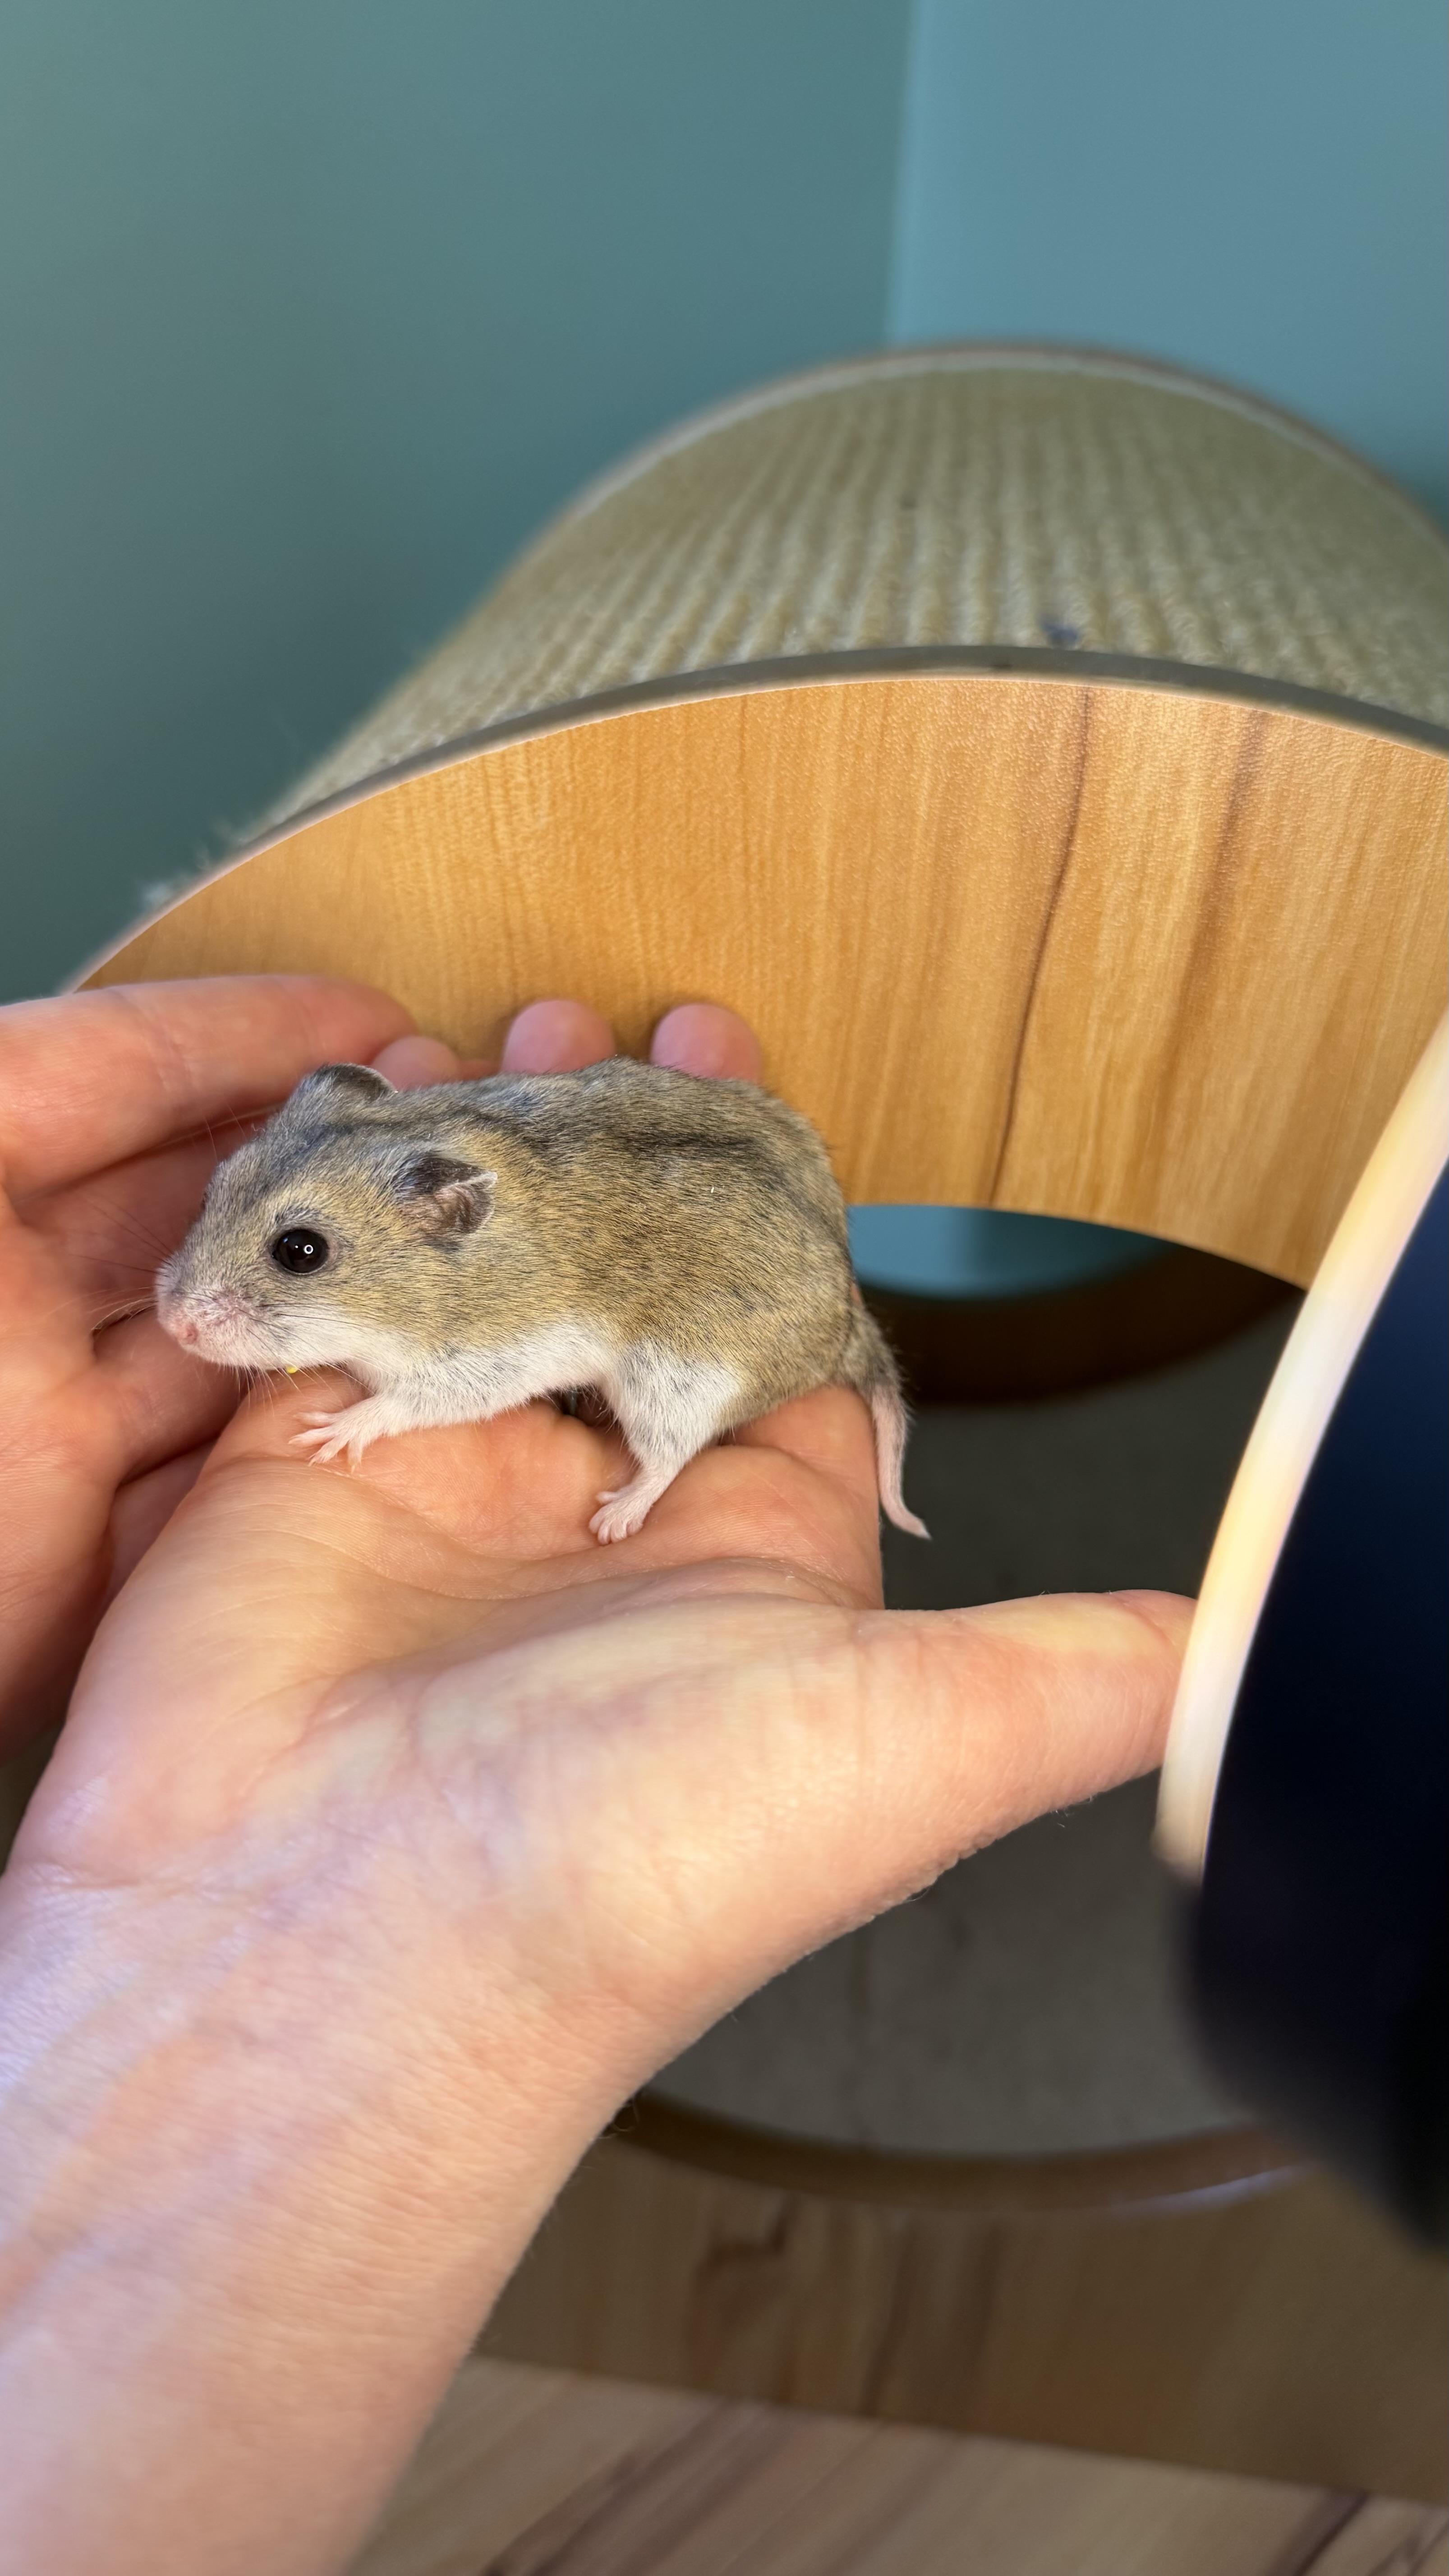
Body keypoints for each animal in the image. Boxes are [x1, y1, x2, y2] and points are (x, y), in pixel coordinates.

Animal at [157, 1057, 928, 1545]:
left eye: (301, 1251)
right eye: (212, 1187)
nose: (173, 1324)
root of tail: (845, 1326)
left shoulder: (482, 1364)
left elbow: (402, 1403)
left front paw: (328, 1433)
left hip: (675, 1384)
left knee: (669, 1458)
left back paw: (616, 1519)